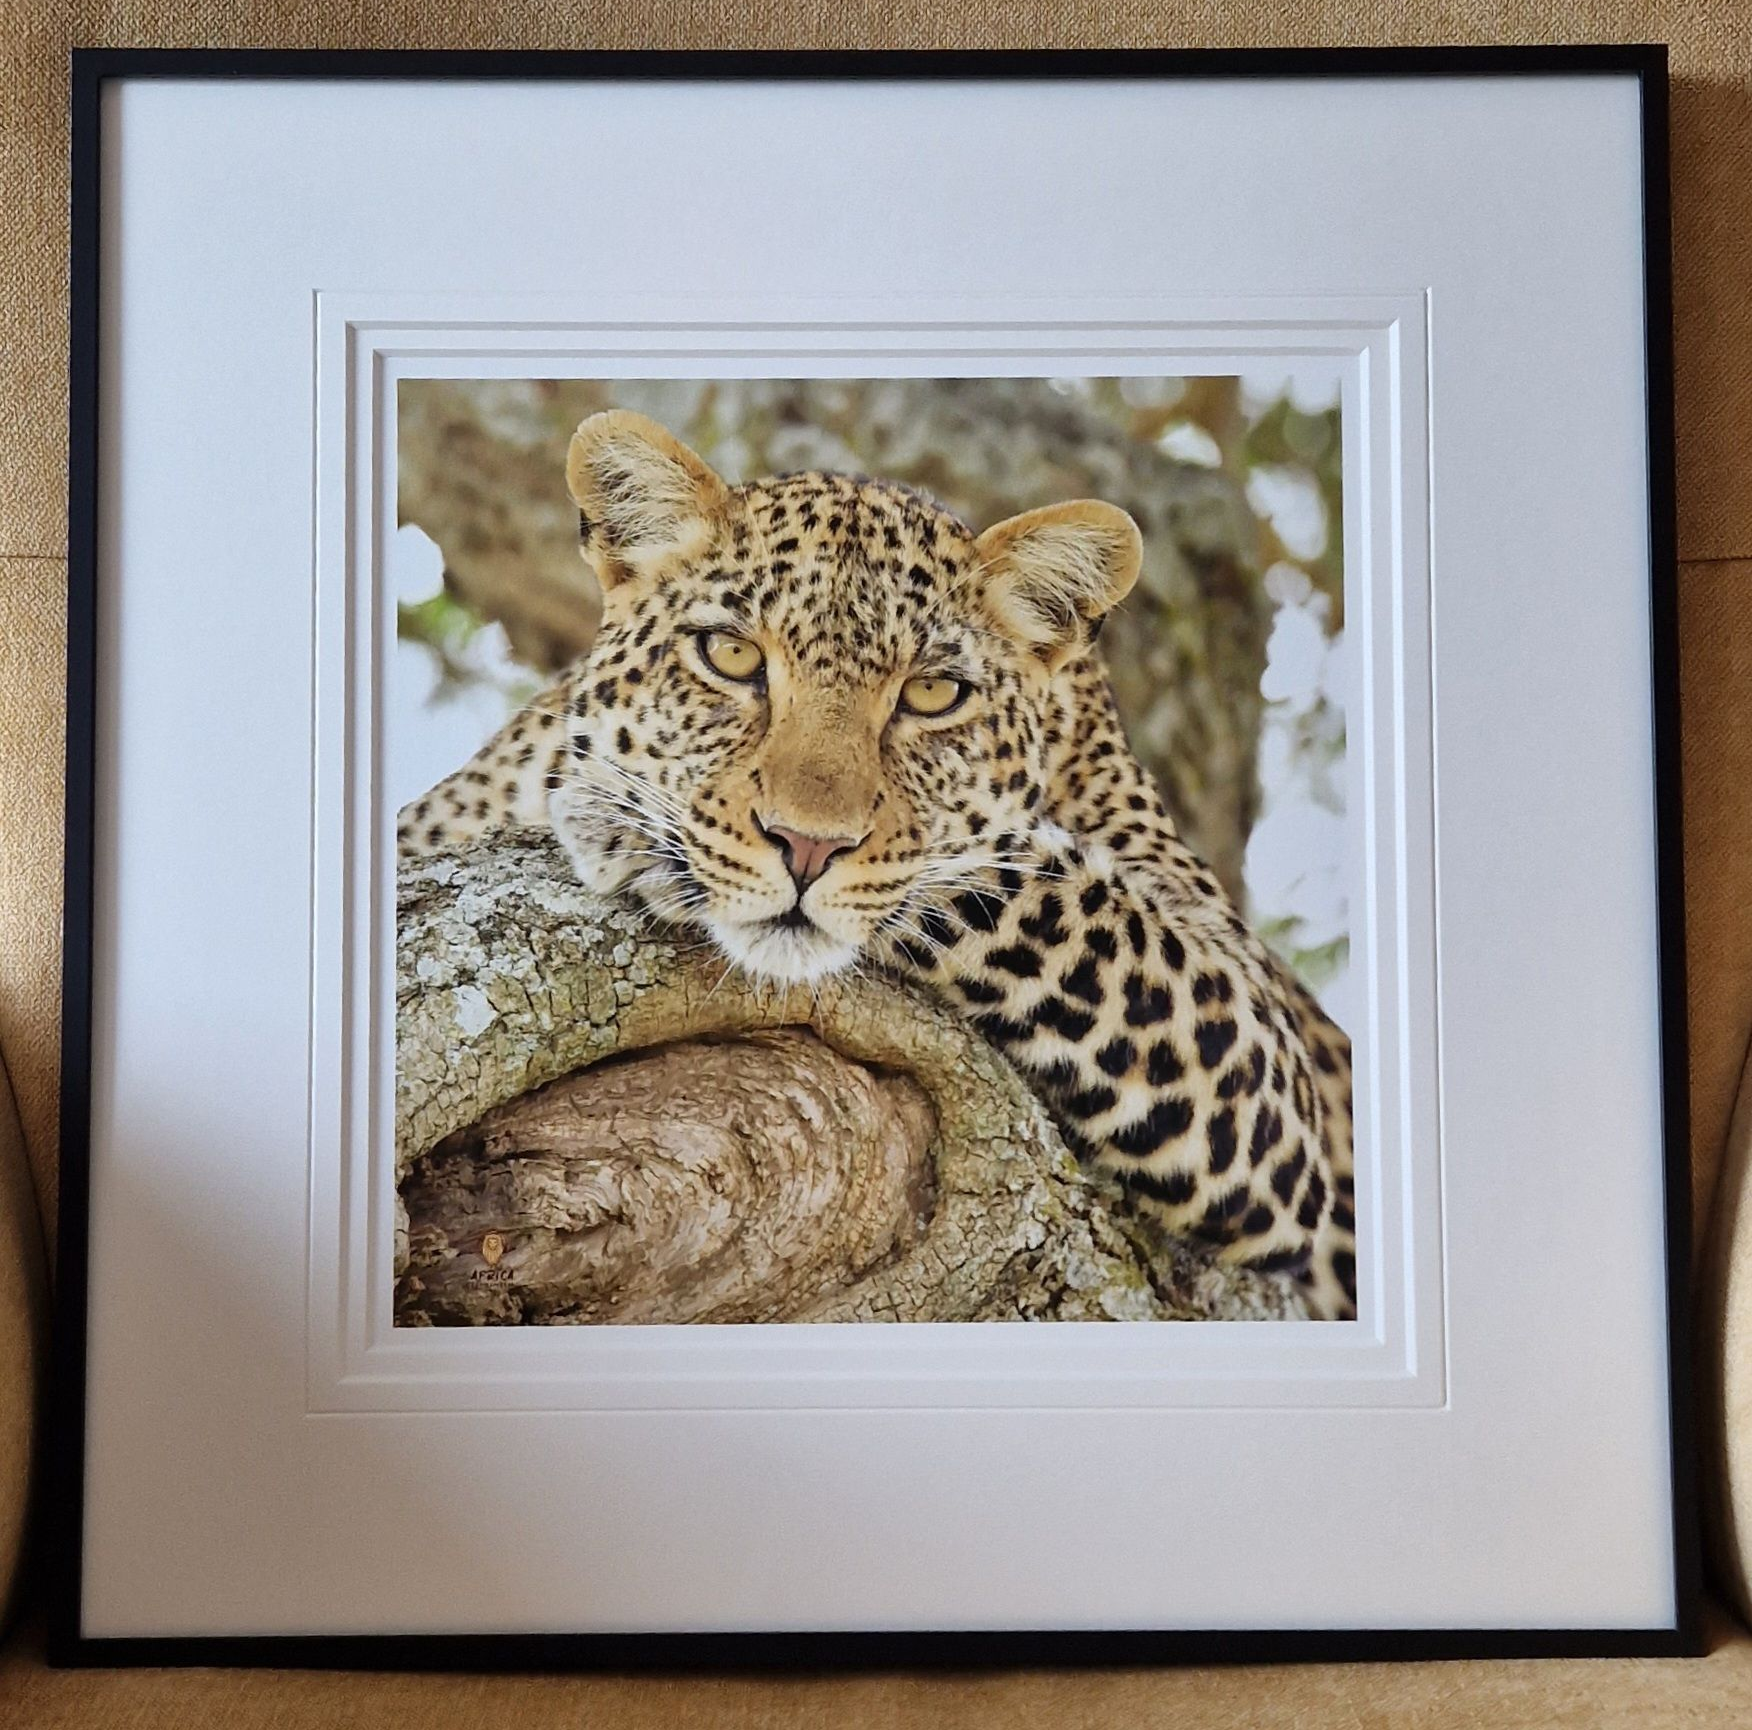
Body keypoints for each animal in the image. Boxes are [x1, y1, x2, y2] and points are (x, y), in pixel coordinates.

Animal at [398, 410, 1358, 1319]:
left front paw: (623, 817)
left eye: (932, 694)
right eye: (732, 655)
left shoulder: (1268, 1070)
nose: (806, 845)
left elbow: (1017, 870)